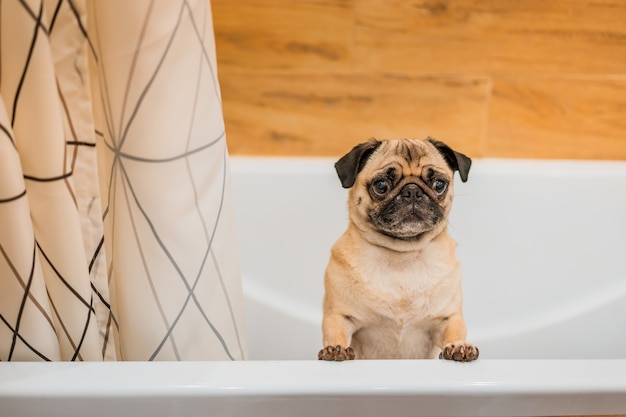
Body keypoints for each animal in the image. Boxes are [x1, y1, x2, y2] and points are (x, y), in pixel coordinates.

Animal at [320, 136, 476, 360]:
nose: (412, 191)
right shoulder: (340, 315)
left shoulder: (447, 318)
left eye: (439, 184)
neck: (402, 255)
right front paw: (336, 349)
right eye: (381, 185)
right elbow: (336, 332)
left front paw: (458, 346)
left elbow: (454, 331)